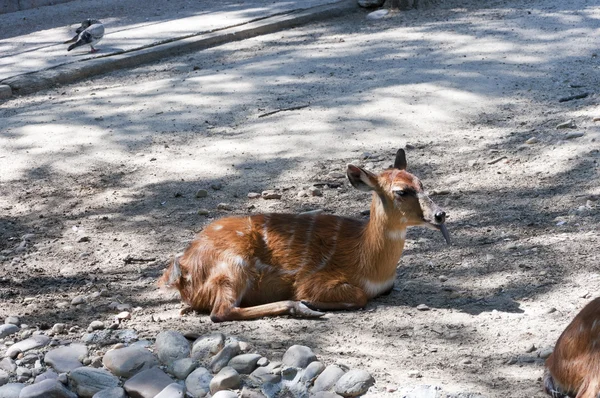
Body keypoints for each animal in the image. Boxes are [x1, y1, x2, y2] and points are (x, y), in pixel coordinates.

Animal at [159, 148, 450, 322]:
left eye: (421, 183)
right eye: (401, 191)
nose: (440, 214)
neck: (370, 266)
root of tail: (182, 273)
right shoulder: (314, 278)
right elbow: (358, 296)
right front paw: (311, 302)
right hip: (232, 266)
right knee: (220, 312)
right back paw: (301, 307)